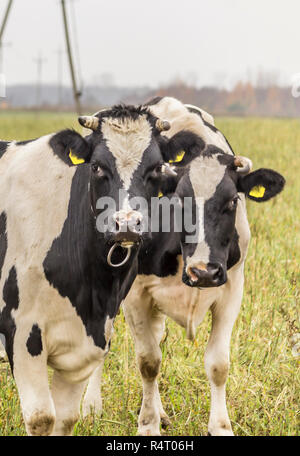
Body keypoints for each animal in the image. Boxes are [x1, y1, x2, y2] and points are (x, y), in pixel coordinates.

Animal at [0, 102, 195, 434]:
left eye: (157, 167)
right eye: (97, 167)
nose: (127, 223)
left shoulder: (87, 344)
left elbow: (65, 419)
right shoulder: (21, 335)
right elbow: (42, 419)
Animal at [82, 96, 286, 434]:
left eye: (233, 201)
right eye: (179, 200)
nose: (203, 272)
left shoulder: (232, 288)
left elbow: (218, 364)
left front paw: (220, 426)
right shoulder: (136, 295)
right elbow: (148, 362)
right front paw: (147, 425)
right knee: (107, 338)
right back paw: (91, 405)